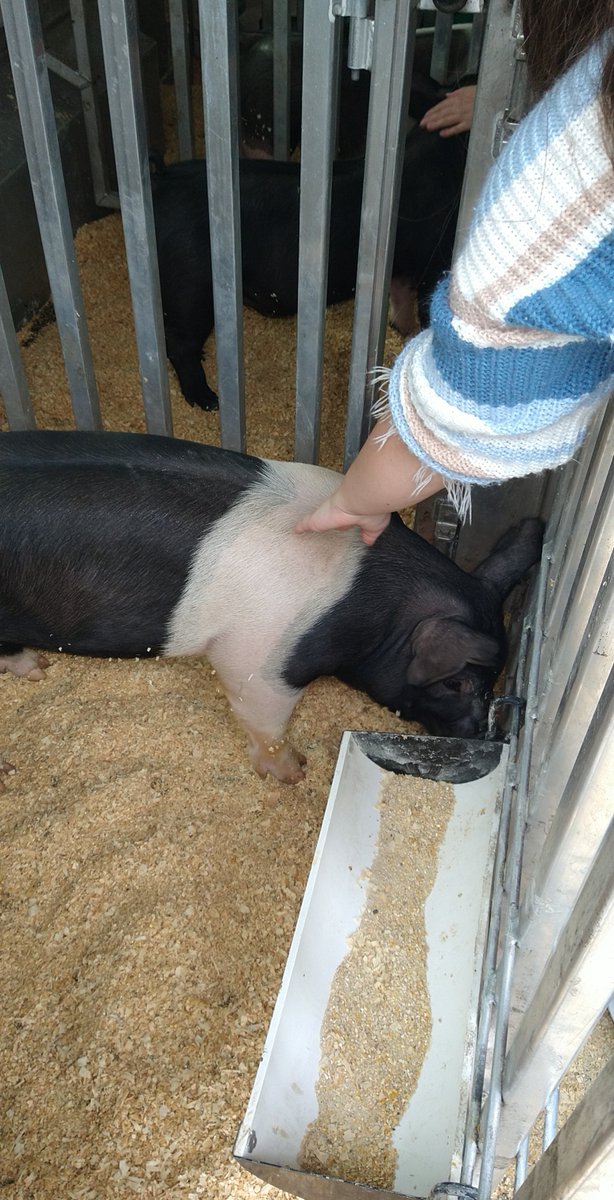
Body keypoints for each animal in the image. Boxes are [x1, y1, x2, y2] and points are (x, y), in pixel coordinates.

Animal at [0, 431, 543, 784]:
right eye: (457, 684)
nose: (481, 735)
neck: (372, 603)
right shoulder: (257, 660)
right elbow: (267, 719)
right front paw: (294, 774)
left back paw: (40, 668)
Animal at [151, 125, 467, 411]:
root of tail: (161, 183)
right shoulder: (435, 258)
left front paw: (406, 332)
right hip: (192, 286)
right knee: (179, 343)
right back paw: (209, 401)